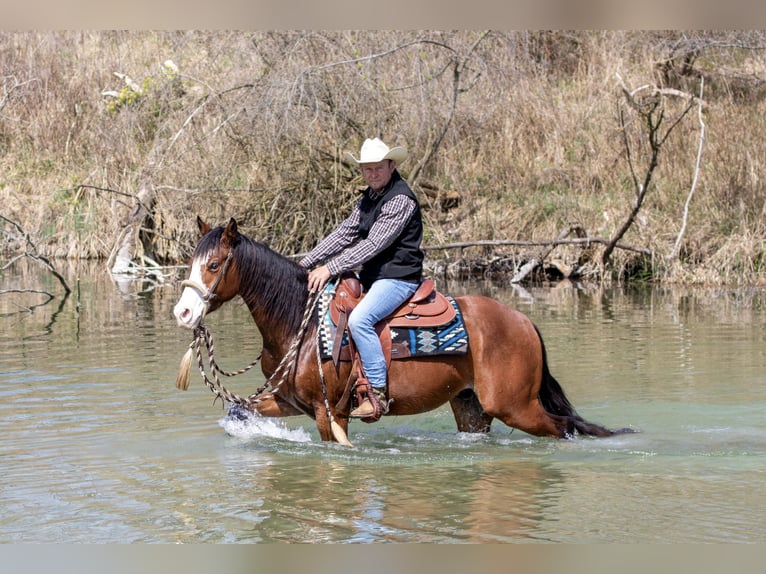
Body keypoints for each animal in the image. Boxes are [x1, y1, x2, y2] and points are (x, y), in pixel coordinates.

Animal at [173, 216, 634, 445]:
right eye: (191, 261)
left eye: (214, 264)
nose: (183, 311)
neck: (298, 323)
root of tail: (524, 323)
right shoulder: (287, 402)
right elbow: (241, 411)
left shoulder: (329, 411)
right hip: (472, 407)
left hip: (515, 406)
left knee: (562, 428)